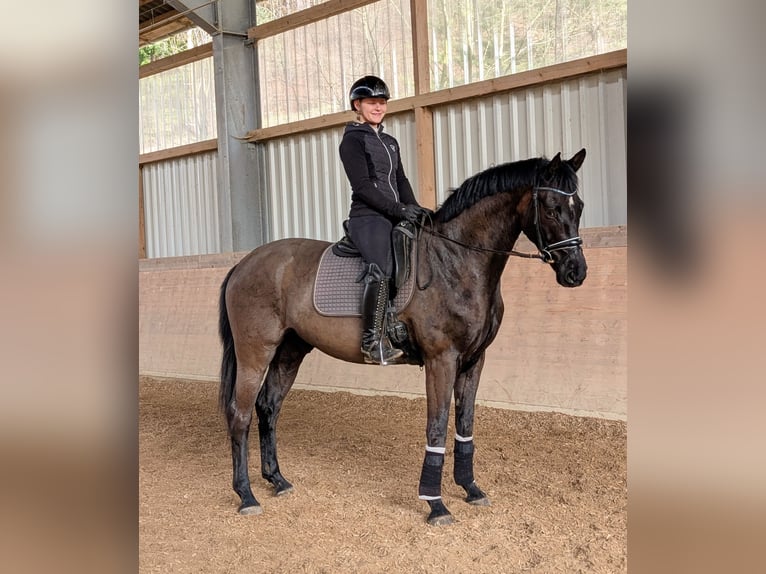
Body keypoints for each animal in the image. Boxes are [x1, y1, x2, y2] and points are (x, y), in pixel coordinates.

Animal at [218, 149, 588, 525]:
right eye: (551, 208)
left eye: (579, 206)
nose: (576, 272)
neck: (457, 261)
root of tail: (245, 264)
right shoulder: (442, 360)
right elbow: (437, 426)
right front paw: (436, 504)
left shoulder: (473, 360)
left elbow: (465, 423)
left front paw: (470, 488)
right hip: (255, 352)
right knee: (240, 414)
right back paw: (246, 495)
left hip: (290, 350)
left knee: (269, 408)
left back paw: (276, 480)